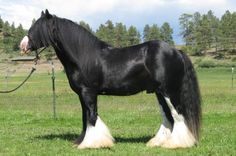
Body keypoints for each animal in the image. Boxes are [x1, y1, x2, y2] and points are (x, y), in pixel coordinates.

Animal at [19, 10, 201, 149]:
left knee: (178, 115)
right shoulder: (82, 94)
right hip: (159, 92)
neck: (83, 56)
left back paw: (177, 144)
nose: (22, 46)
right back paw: (158, 142)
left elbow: (92, 117)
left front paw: (91, 144)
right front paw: (81, 141)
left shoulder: (88, 92)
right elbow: (85, 117)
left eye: (37, 28)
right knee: (168, 117)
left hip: (169, 91)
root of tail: (176, 51)